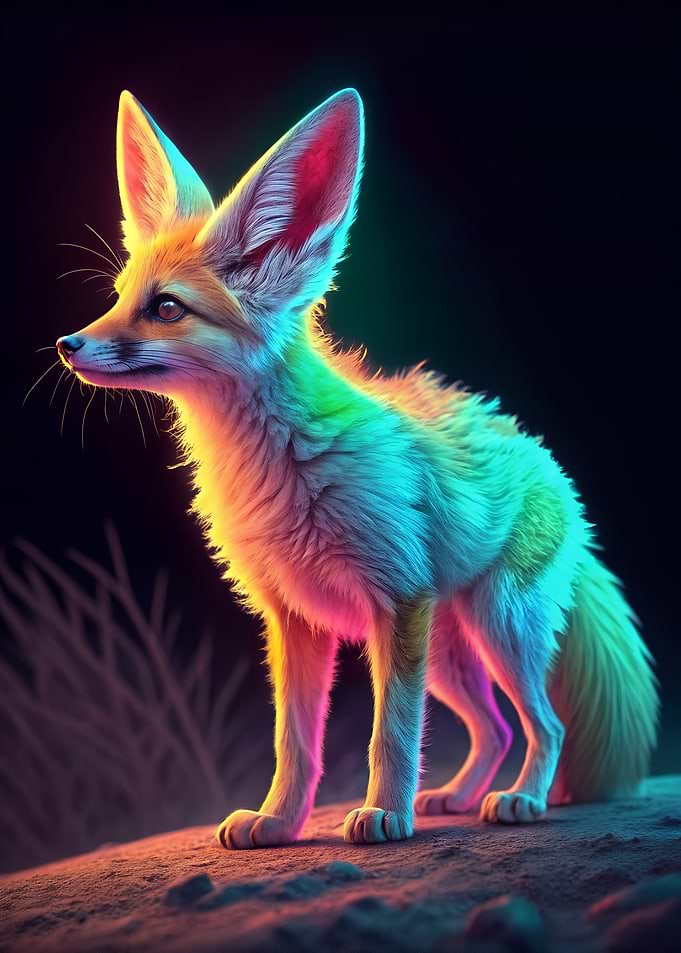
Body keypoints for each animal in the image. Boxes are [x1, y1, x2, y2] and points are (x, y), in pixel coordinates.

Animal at [55, 88, 658, 848]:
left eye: (166, 308)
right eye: (116, 295)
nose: (66, 344)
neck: (277, 467)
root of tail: (546, 463)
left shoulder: (395, 602)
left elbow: (389, 732)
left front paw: (384, 815)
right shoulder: (293, 620)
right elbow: (294, 740)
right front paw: (279, 820)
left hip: (496, 630)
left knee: (543, 724)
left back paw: (520, 798)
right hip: (451, 657)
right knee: (492, 727)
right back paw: (457, 796)